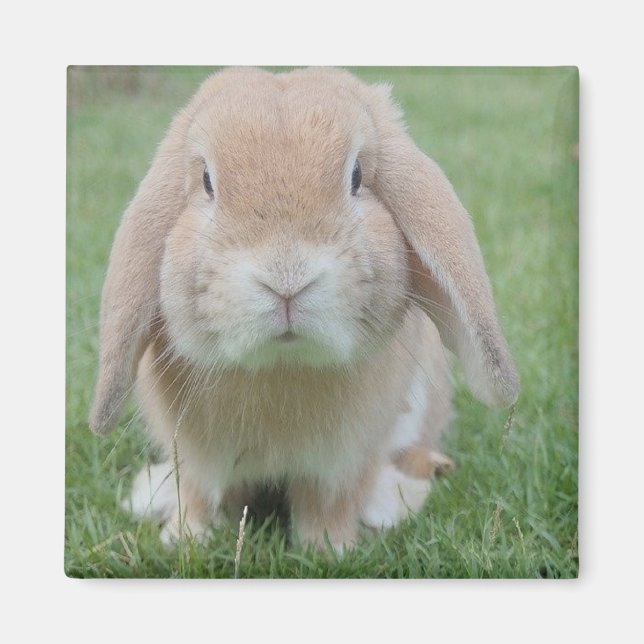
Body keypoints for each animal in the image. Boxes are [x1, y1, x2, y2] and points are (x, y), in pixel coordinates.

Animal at [89, 67, 519, 552]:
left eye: (356, 176)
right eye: (206, 181)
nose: (287, 279)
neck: (282, 365)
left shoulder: (343, 462)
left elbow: (327, 505)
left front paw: (331, 549)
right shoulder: (197, 459)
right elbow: (200, 497)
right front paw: (184, 540)